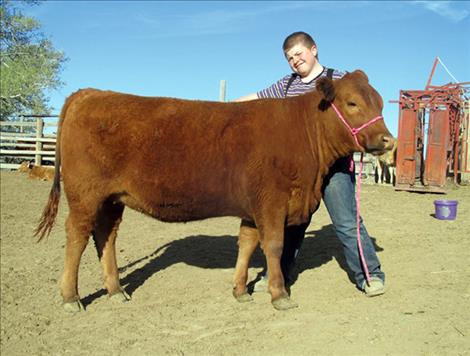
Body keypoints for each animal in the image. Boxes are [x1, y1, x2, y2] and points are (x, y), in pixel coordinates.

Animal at [36, 69, 394, 312]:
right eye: (352, 102)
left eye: (379, 102)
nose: (388, 140)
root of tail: (87, 93)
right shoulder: (271, 202)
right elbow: (274, 246)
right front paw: (279, 295)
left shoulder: (254, 207)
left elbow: (247, 245)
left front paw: (240, 290)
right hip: (85, 195)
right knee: (77, 236)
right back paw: (71, 297)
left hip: (112, 200)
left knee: (106, 236)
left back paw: (115, 290)